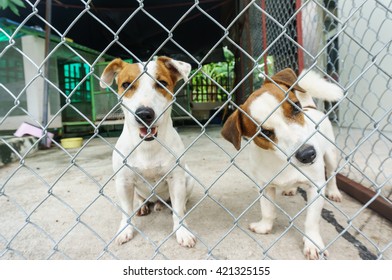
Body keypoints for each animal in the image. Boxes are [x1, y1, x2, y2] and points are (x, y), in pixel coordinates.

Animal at [99, 55, 195, 247]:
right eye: (126, 84)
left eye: (162, 83)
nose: (144, 114)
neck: (147, 146)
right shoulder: (123, 181)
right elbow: (126, 212)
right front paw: (125, 230)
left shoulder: (176, 179)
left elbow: (178, 212)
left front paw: (182, 230)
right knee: (142, 199)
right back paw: (143, 206)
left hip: (188, 178)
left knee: (179, 201)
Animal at [220, 68, 344, 260]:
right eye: (265, 132)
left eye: (295, 108)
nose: (307, 154)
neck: (282, 162)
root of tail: (310, 107)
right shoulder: (264, 186)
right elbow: (267, 210)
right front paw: (264, 227)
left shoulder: (315, 187)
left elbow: (312, 220)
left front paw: (312, 243)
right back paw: (290, 189)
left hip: (331, 155)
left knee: (331, 174)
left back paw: (334, 191)